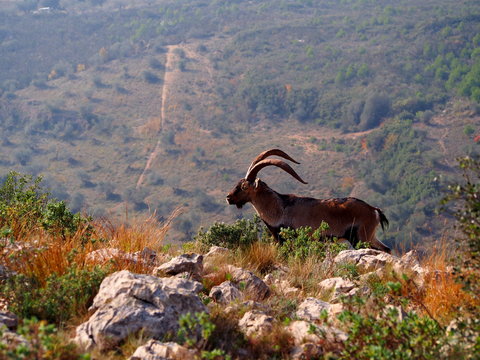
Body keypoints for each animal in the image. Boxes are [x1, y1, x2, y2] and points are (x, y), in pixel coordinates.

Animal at [227, 149, 392, 253]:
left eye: (244, 187)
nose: (229, 197)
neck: (281, 209)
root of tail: (374, 210)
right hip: (370, 236)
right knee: (386, 249)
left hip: (361, 238)